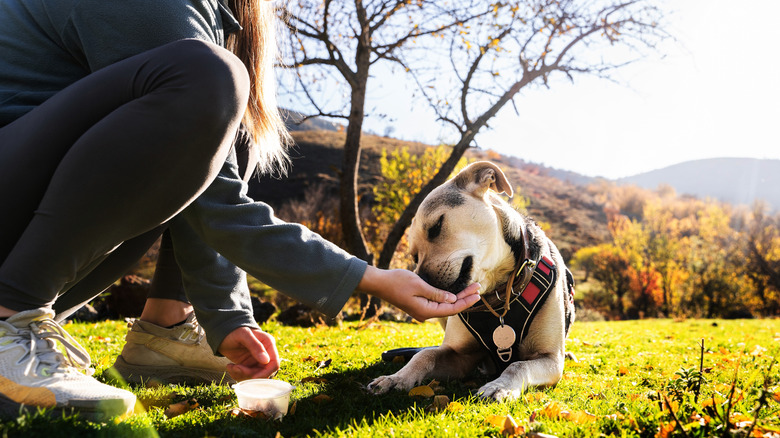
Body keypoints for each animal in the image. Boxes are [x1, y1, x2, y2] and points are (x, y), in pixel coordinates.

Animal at [368, 161, 576, 400]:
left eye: (436, 227)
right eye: (414, 257)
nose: (422, 282)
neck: (497, 295)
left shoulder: (550, 359)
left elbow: (517, 365)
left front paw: (499, 386)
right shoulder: (460, 356)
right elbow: (425, 355)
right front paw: (396, 378)